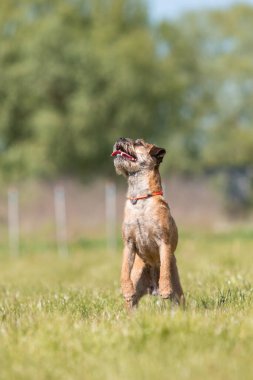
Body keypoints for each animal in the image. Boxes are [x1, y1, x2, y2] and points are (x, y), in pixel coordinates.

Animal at [110, 138, 184, 310]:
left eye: (138, 143)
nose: (120, 138)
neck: (141, 198)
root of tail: (152, 288)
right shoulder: (129, 244)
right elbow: (124, 268)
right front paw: (126, 289)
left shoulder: (163, 241)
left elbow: (164, 268)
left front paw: (165, 288)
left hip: (179, 294)